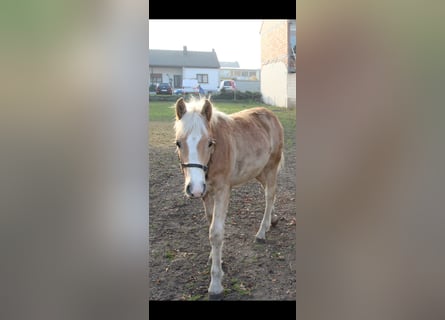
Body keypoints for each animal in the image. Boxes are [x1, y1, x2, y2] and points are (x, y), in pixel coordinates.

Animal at [172, 96, 282, 298]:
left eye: (209, 143)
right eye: (178, 143)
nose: (195, 188)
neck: (215, 156)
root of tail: (270, 114)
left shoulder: (223, 191)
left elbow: (216, 232)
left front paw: (215, 283)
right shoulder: (206, 193)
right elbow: (211, 223)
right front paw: (214, 257)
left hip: (271, 166)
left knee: (269, 195)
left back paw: (261, 232)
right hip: (258, 171)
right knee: (270, 192)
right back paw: (273, 220)